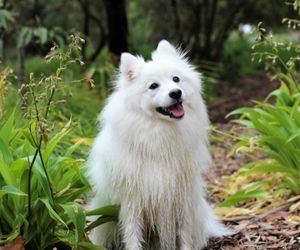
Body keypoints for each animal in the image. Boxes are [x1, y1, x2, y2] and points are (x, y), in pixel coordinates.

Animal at [88, 40, 229, 249]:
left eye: (176, 79)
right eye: (153, 86)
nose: (176, 93)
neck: (161, 135)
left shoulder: (180, 198)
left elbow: (184, 235)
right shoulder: (133, 200)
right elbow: (133, 235)